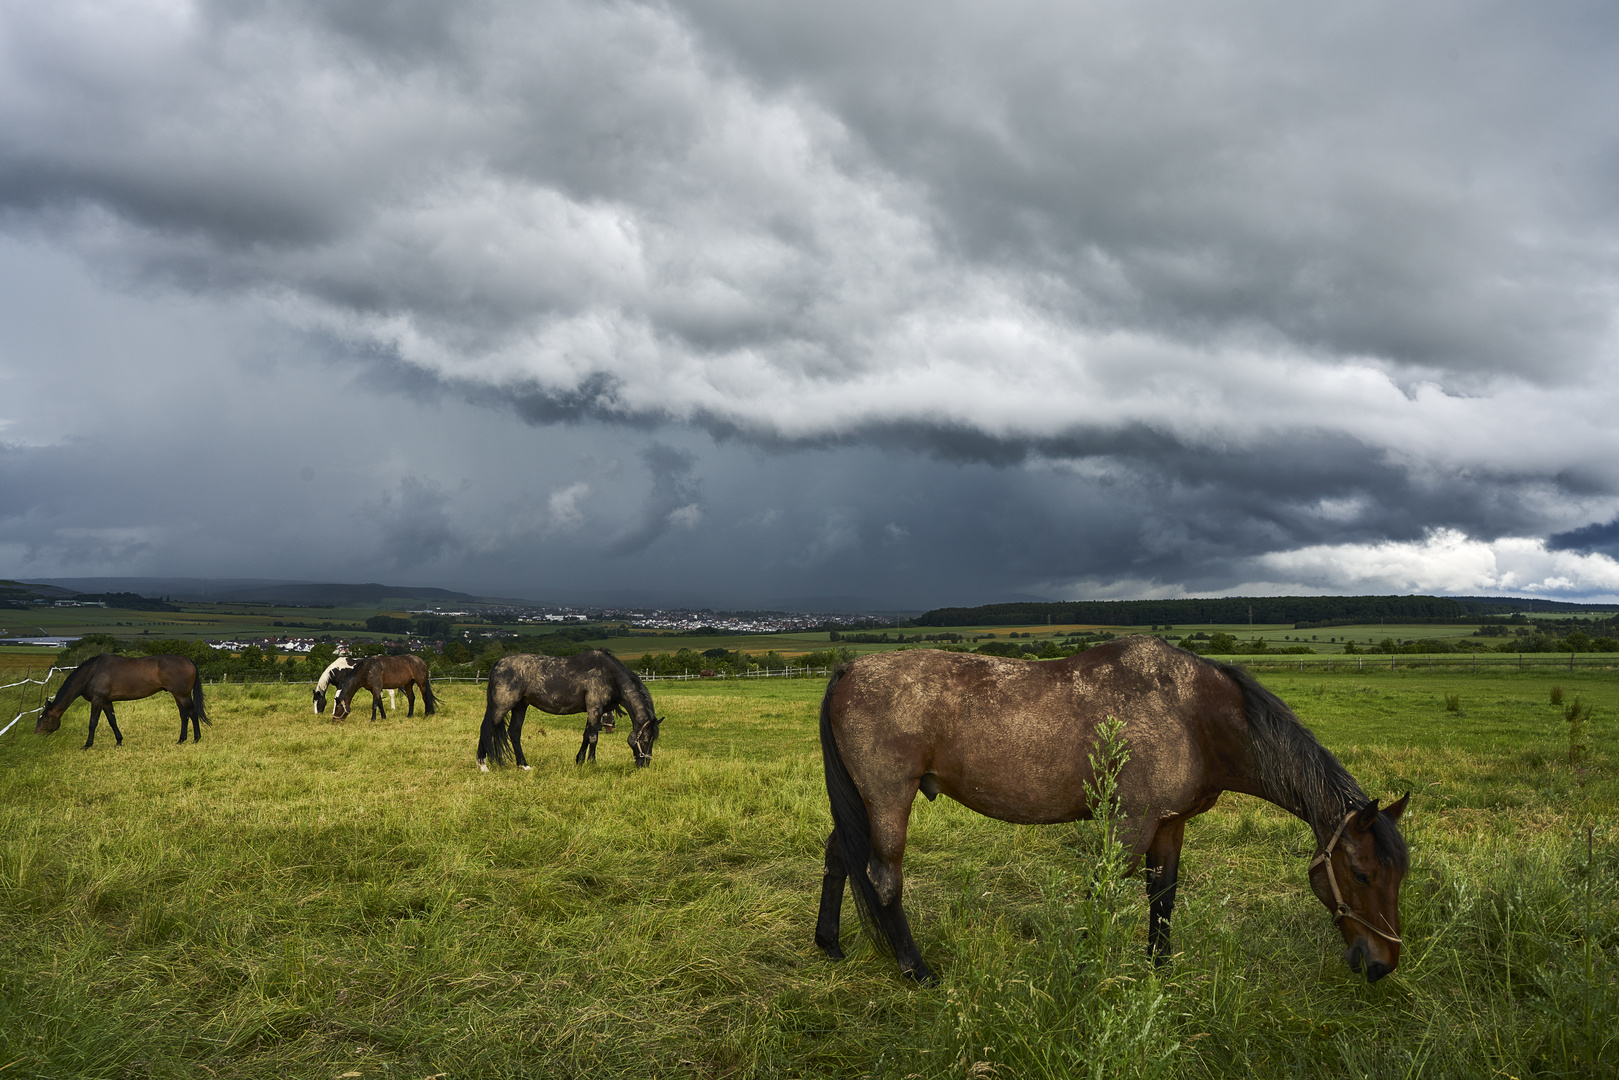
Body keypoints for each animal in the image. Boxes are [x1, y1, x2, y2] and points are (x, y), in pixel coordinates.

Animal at [37, 650, 212, 751]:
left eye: (44, 720)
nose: (36, 735)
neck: (92, 672)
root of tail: (189, 661)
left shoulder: (97, 700)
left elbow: (93, 722)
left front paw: (87, 745)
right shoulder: (106, 701)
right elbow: (112, 721)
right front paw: (119, 742)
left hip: (183, 695)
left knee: (192, 714)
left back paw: (196, 739)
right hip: (177, 695)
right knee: (184, 716)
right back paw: (181, 740)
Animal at [475, 650, 660, 767]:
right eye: (645, 739)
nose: (645, 763)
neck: (610, 676)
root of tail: (498, 663)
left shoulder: (594, 711)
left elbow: (586, 735)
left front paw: (579, 760)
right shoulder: (595, 708)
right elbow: (593, 737)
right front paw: (592, 763)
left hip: (520, 706)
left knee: (514, 732)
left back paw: (523, 765)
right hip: (501, 706)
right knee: (486, 728)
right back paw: (482, 764)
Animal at [815, 641, 1411, 990]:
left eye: (1399, 878)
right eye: (1361, 875)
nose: (1382, 963)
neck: (1191, 714)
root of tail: (847, 669)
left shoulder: (1170, 824)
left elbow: (1162, 895)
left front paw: (1158, 969)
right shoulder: (1131, 824)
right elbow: (1101, 892)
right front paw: (1082, 972)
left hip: (864, 804)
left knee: (839, 854)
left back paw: (830, 944)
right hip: (889, 799)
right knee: (884, 879)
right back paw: (916, 971)